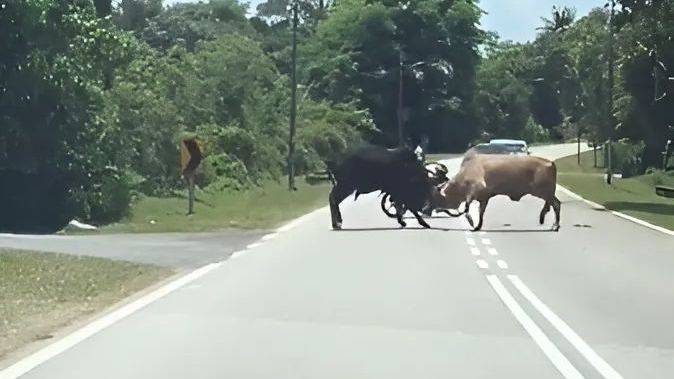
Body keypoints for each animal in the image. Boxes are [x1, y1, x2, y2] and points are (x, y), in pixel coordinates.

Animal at [430, 154, 560, 232]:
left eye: (438, 197)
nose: (434, 209)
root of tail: (550, 163)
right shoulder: (484, 198)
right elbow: (480, 212)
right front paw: (477, 226)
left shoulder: (475, 189)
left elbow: (467, 207)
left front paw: (471, 222)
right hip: (547, 194)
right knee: (553, 204)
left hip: (544, 192)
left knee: (556, 204)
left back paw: (555, 226)